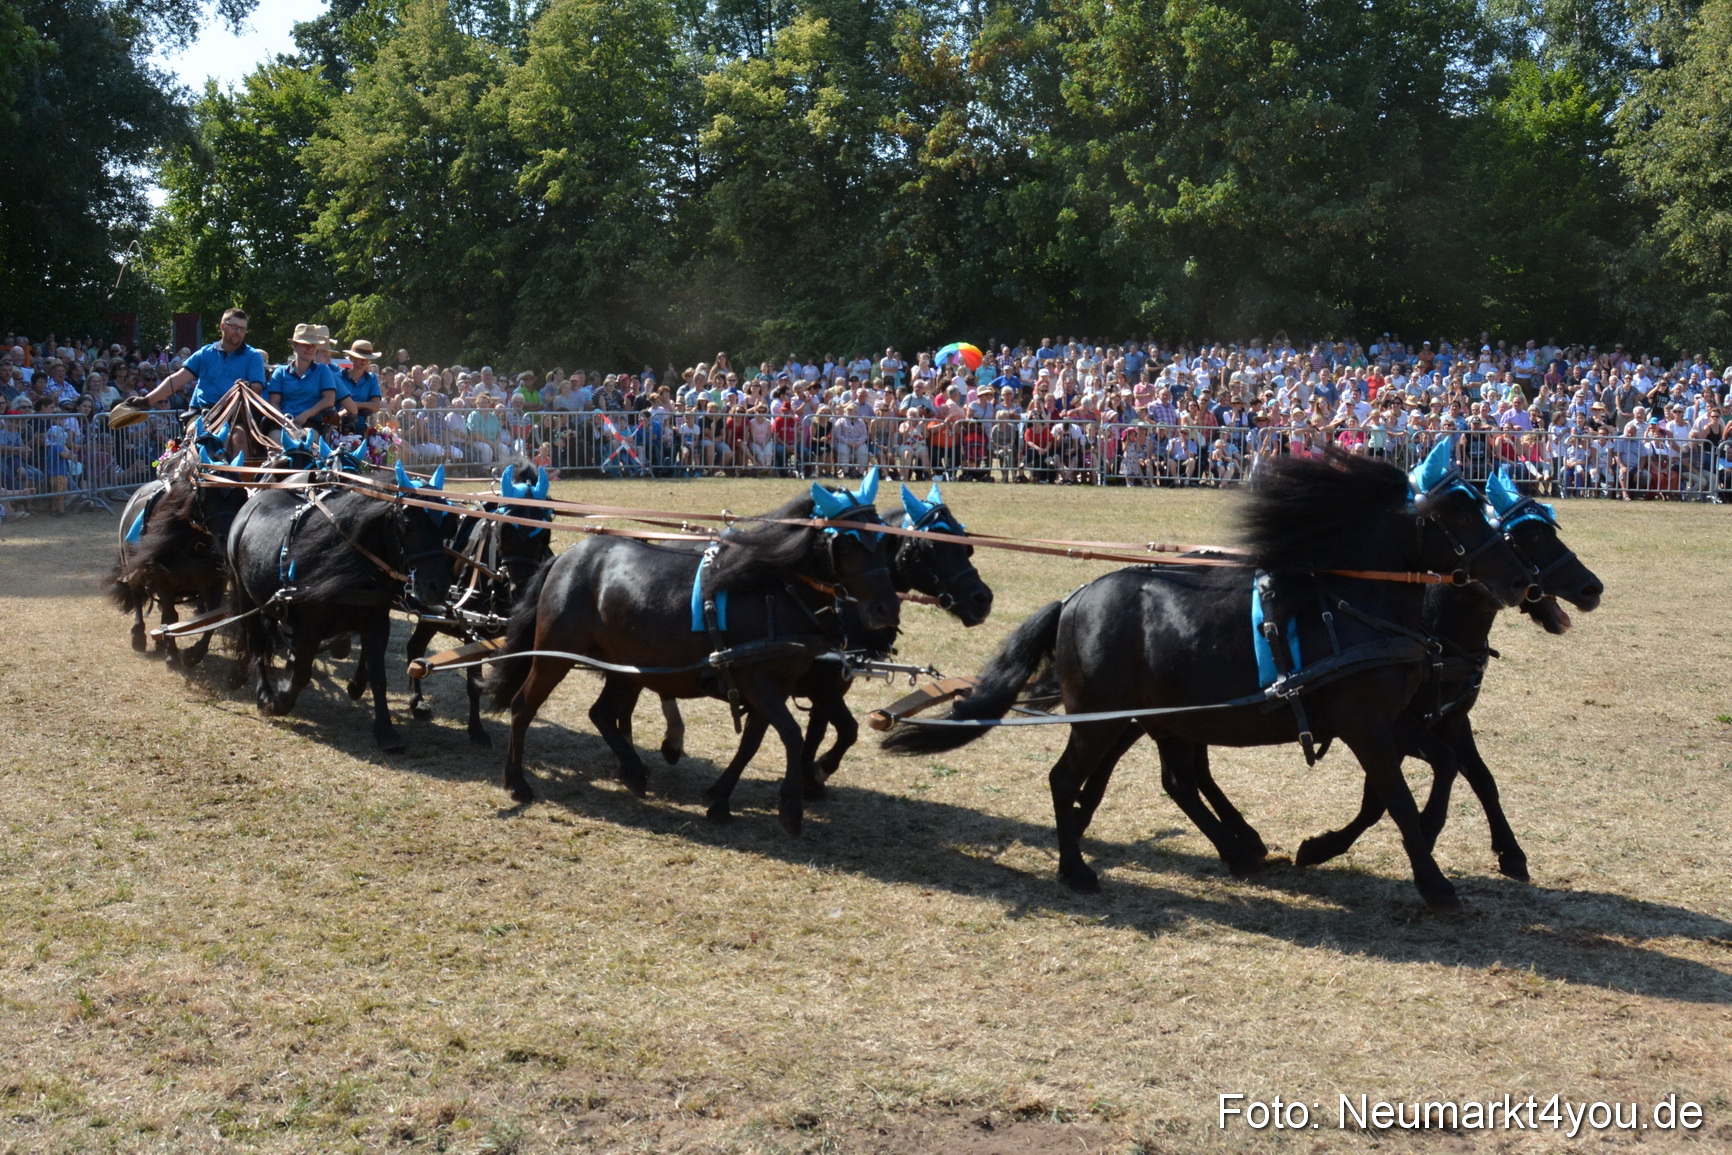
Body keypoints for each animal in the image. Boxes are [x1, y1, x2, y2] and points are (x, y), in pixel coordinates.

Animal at [225, 461, 454, 750]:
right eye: (407, 524)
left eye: (448, 525)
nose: (438, 587)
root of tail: (255, 499)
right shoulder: (307, 628)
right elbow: (301, 674)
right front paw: (279, 701)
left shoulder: (377, 622)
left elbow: (378, 675)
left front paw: (385, 729)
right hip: (246, 595)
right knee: (256, 643)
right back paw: (264, 692)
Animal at [404, 464, 555, 745]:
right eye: (504, 530)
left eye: (544, 530)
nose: (523, 589)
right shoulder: (470, 631)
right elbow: (474, 683)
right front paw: (476, 729)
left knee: (415, 647)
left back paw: (417, 702)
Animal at [484, 470, 902, 834]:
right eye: (845, 542)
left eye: (885, 542)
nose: (887, 609)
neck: (773, 589)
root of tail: (565, 558)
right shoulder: (758, 681)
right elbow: (792, 735)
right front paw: (791, 807)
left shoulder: (778, 686)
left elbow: (753, 742)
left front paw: (720, 799)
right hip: (555, 654)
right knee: (524, 706)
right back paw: (516, 781)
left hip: (627, 665)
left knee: (601, 713)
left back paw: (634, 771)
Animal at [884, 446, 1538, 911]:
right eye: (1455, 513)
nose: (1521, 580)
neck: (1351, 608)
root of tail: (1074, 598)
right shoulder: (1368, 727)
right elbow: (1397, 798)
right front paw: (1433, 882)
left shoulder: (1401, 723)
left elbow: (1433, 776)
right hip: (1104, 721)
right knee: (1068, 778)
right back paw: (1077, 868)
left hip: (1166, 719)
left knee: (1174, 781)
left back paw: (1235, 848)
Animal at [1290, 467, 1604, 881]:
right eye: (1533, 537)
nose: (1592, 588)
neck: (1440, 636)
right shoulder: (1394, 725)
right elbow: (1384, 797)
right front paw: (1326, 846)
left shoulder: (1452, 719)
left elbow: (1482, 778)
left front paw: (1510, 851)